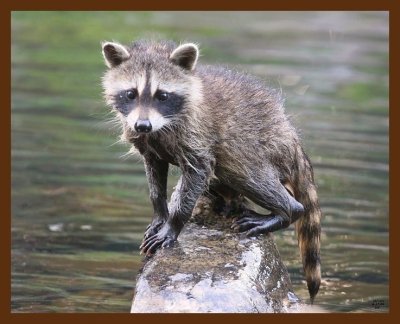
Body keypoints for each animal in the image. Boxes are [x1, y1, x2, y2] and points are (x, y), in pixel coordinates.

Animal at [100, 39, 322, 302]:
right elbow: (155, 178)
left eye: (162, 95)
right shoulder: (149, 145)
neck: (161, 125)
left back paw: (287, 210)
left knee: (245, 172)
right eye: (130, 93)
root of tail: (290, 134)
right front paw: (160, 214)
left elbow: (199, 171)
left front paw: (173, 224)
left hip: (262, 145)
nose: (142, 125)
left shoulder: (197, 134)